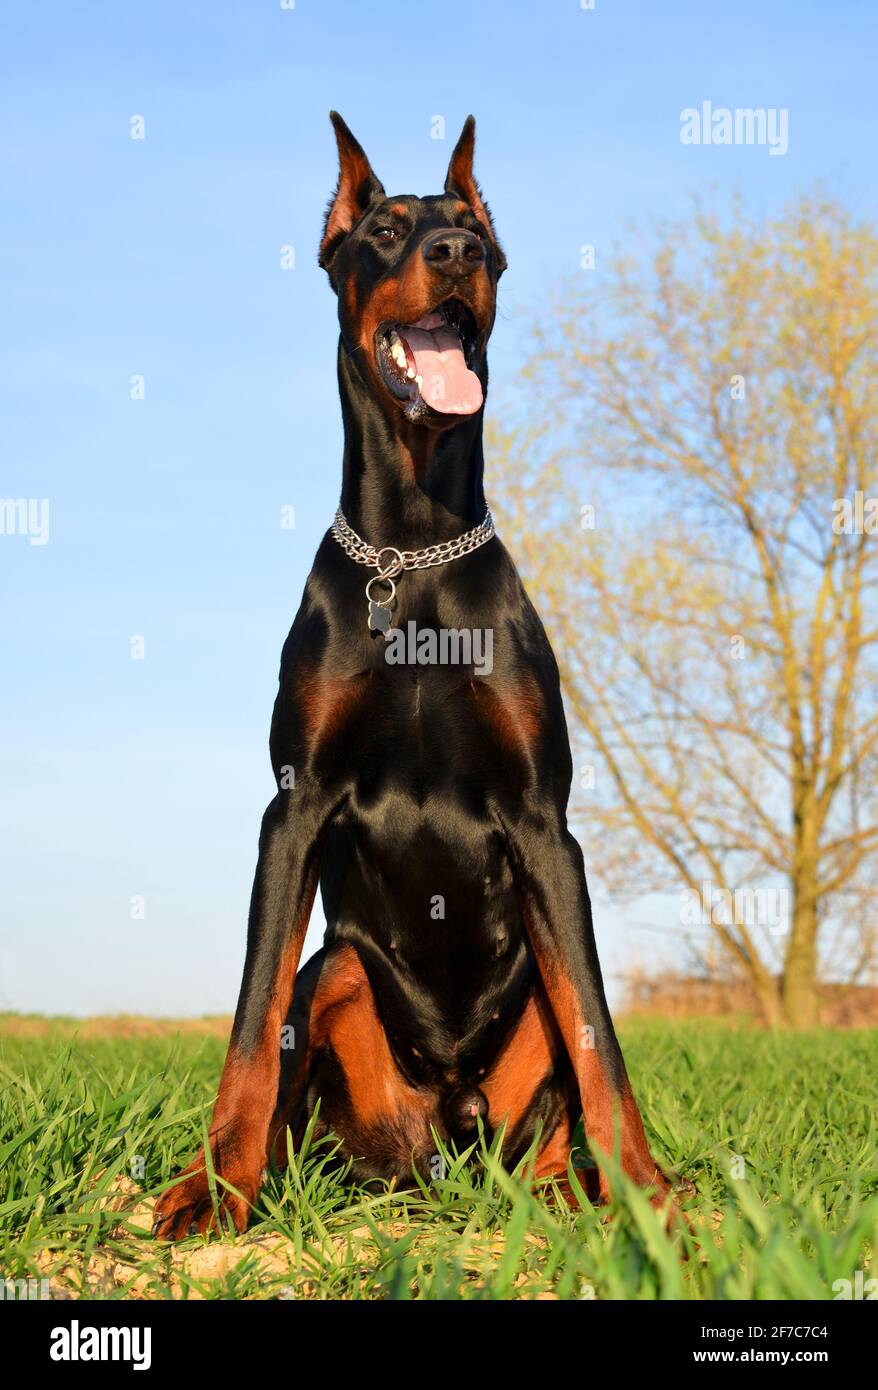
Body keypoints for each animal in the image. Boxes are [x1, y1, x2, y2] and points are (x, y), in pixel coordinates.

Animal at [152, 111, 672, 1239]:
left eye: (481, 235)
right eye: (386, 228)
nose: (456, 252)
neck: (415, 547)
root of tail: (447, 1132)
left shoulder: (544, 822)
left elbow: (600, 1036)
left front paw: (651, 1196)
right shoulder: (293, 806)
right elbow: (250, 1021)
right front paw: (211, 1190)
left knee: (559, 1070)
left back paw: (574, 1186)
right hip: (343, 972)